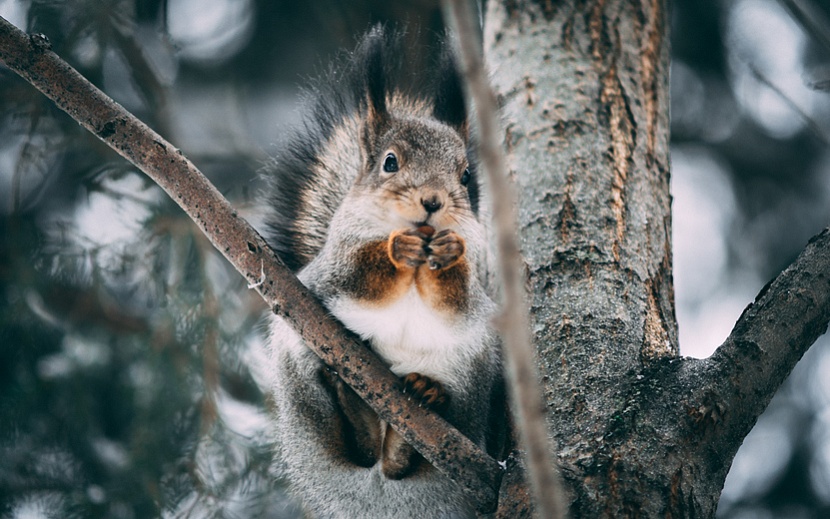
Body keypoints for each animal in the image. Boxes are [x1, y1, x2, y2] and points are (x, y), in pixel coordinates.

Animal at [264, 26, 508, 516]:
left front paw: (449, 253)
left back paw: (417, 411)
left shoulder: (470, 295)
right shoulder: (337, 265)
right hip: (297, 372)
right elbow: (363, 276)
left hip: (473, 377)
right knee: (355, 448)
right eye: (389, 162)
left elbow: (454, 297)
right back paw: (353, 406)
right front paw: (397, 249)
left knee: (403, 460)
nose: (432, 201)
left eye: (466, 175)